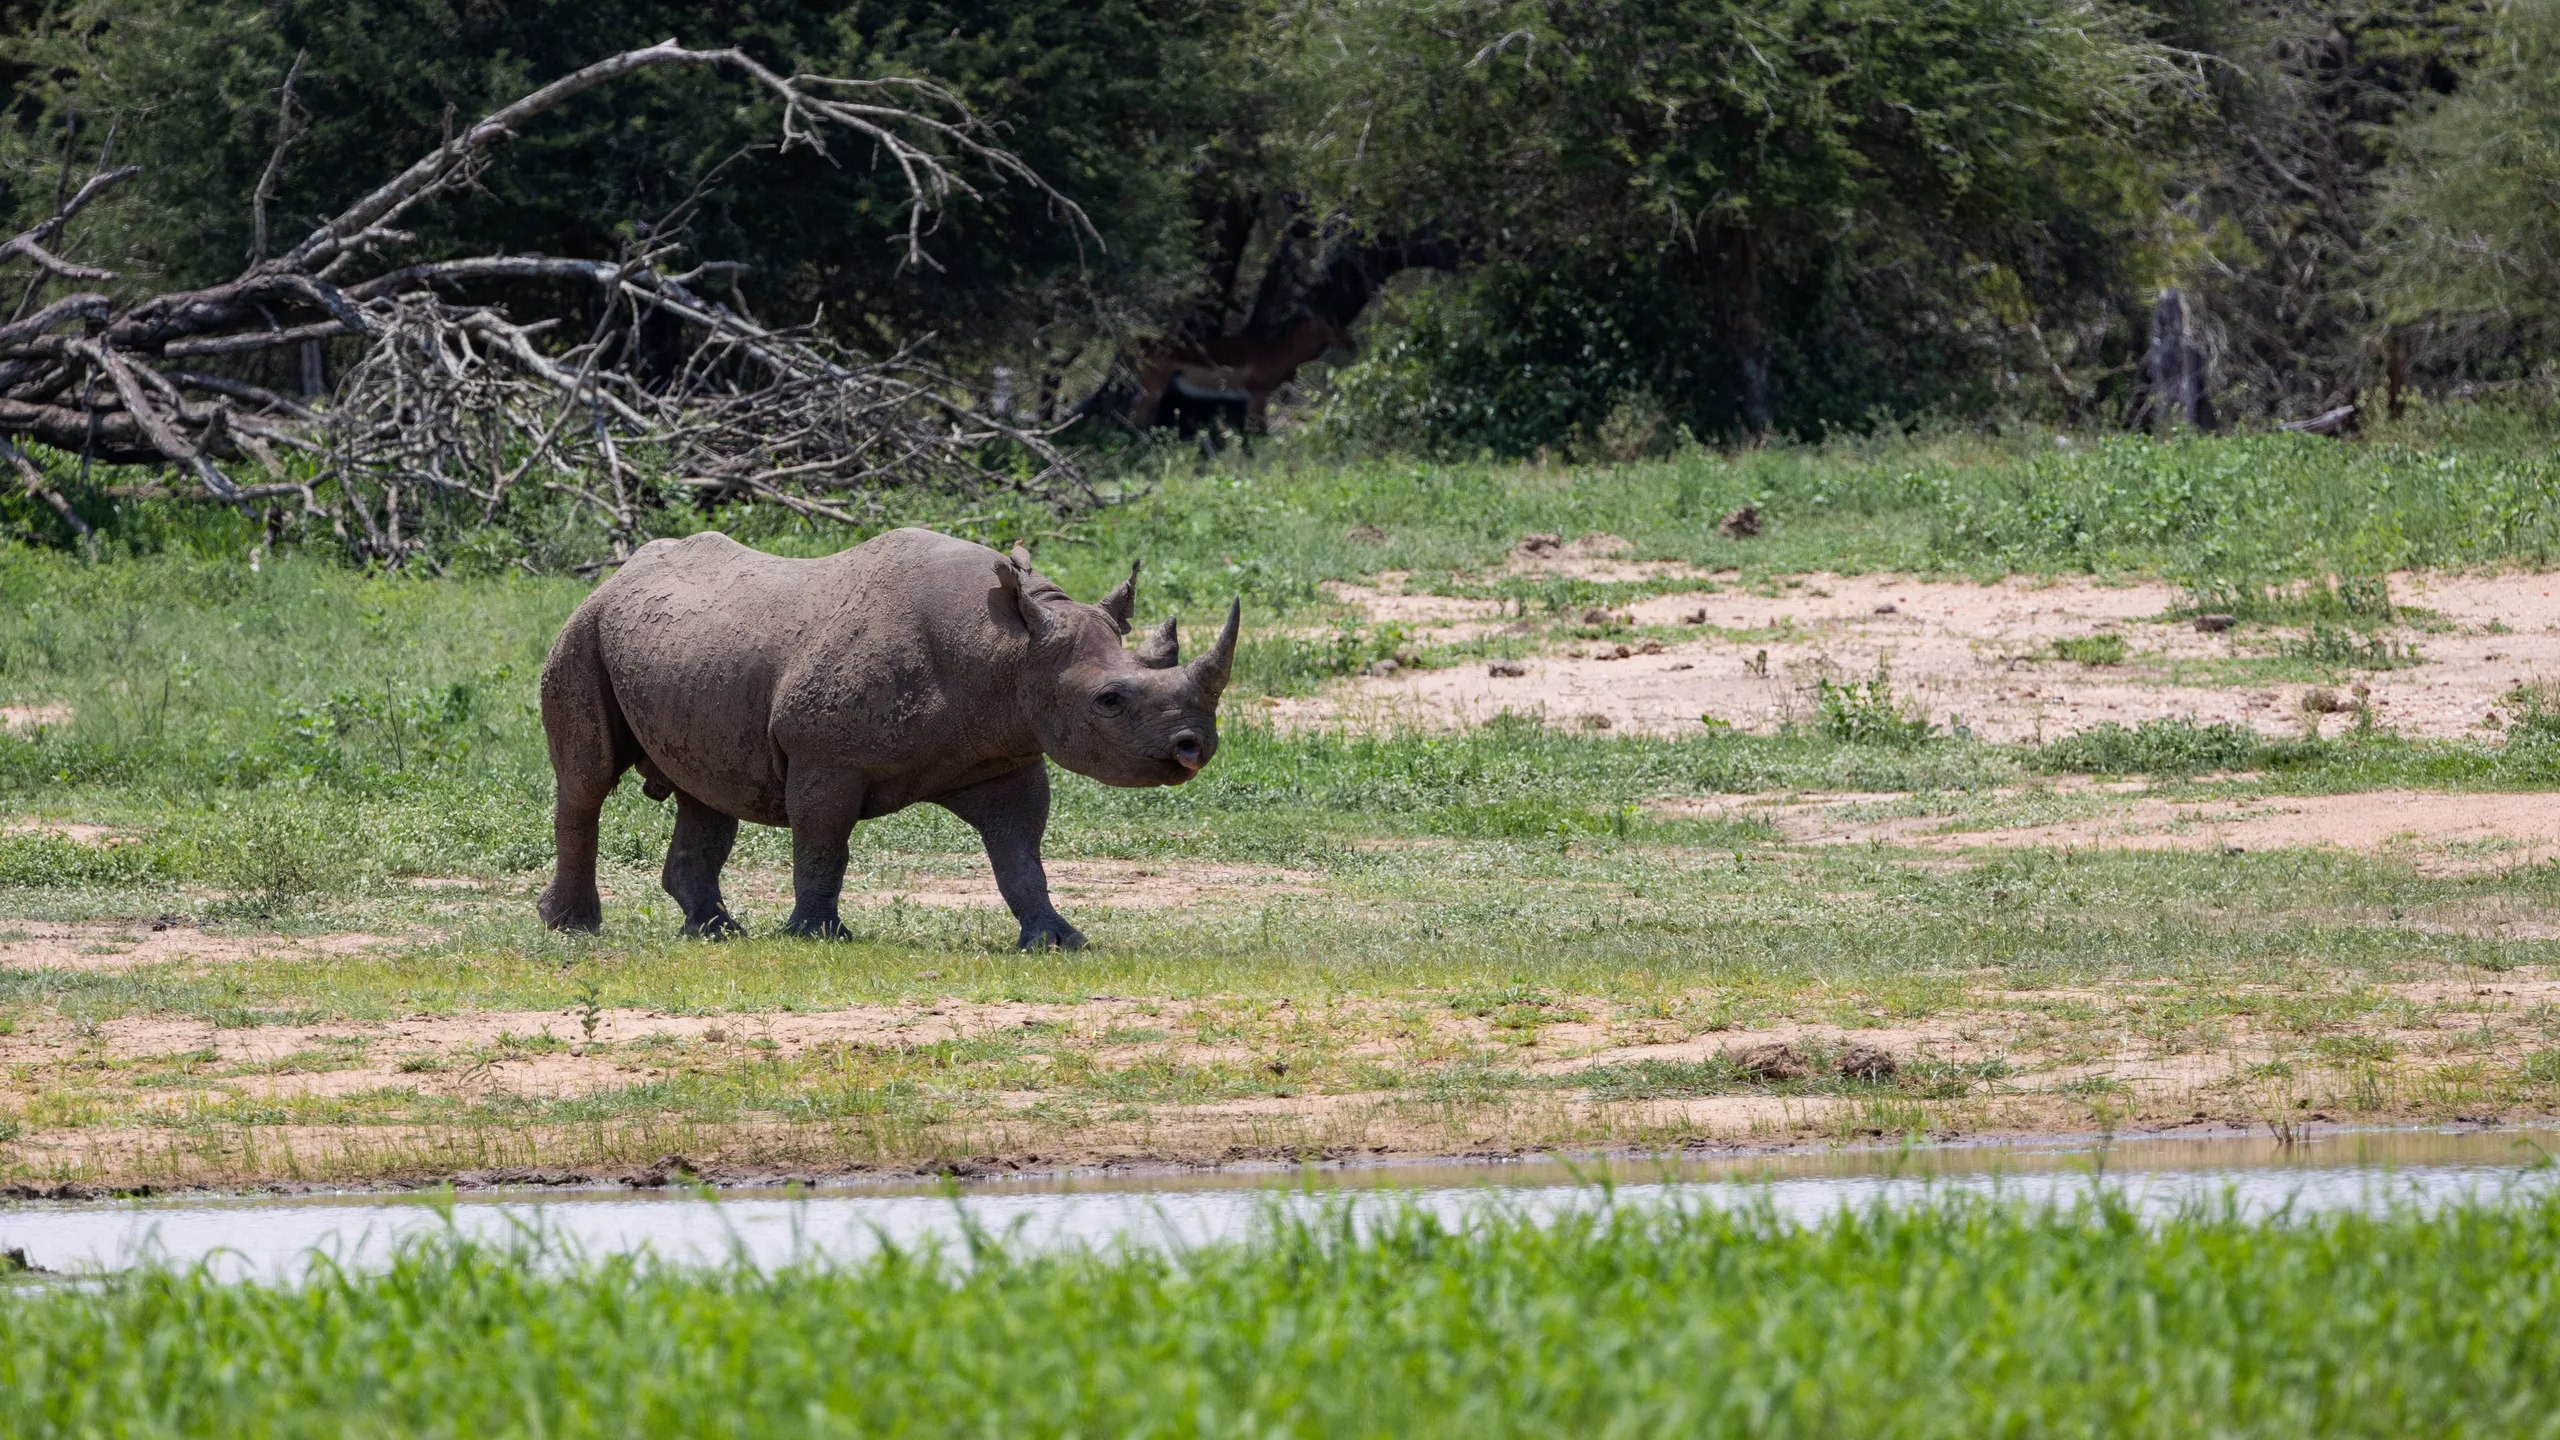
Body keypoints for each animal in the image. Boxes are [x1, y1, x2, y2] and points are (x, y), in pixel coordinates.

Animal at [535, 528, 1237, 949]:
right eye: (1109, 700)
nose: (1195, 747)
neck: (1006, 651)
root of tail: (616, 575)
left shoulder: (1005, 756)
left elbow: (1021, 858)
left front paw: (1057, 940)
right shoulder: (825, 755)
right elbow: (823, 846)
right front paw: (818, 937)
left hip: (691, 653)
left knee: (707, 792)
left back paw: (716, 932)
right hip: (583, 630)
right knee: (587, 781)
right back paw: (574, 929)